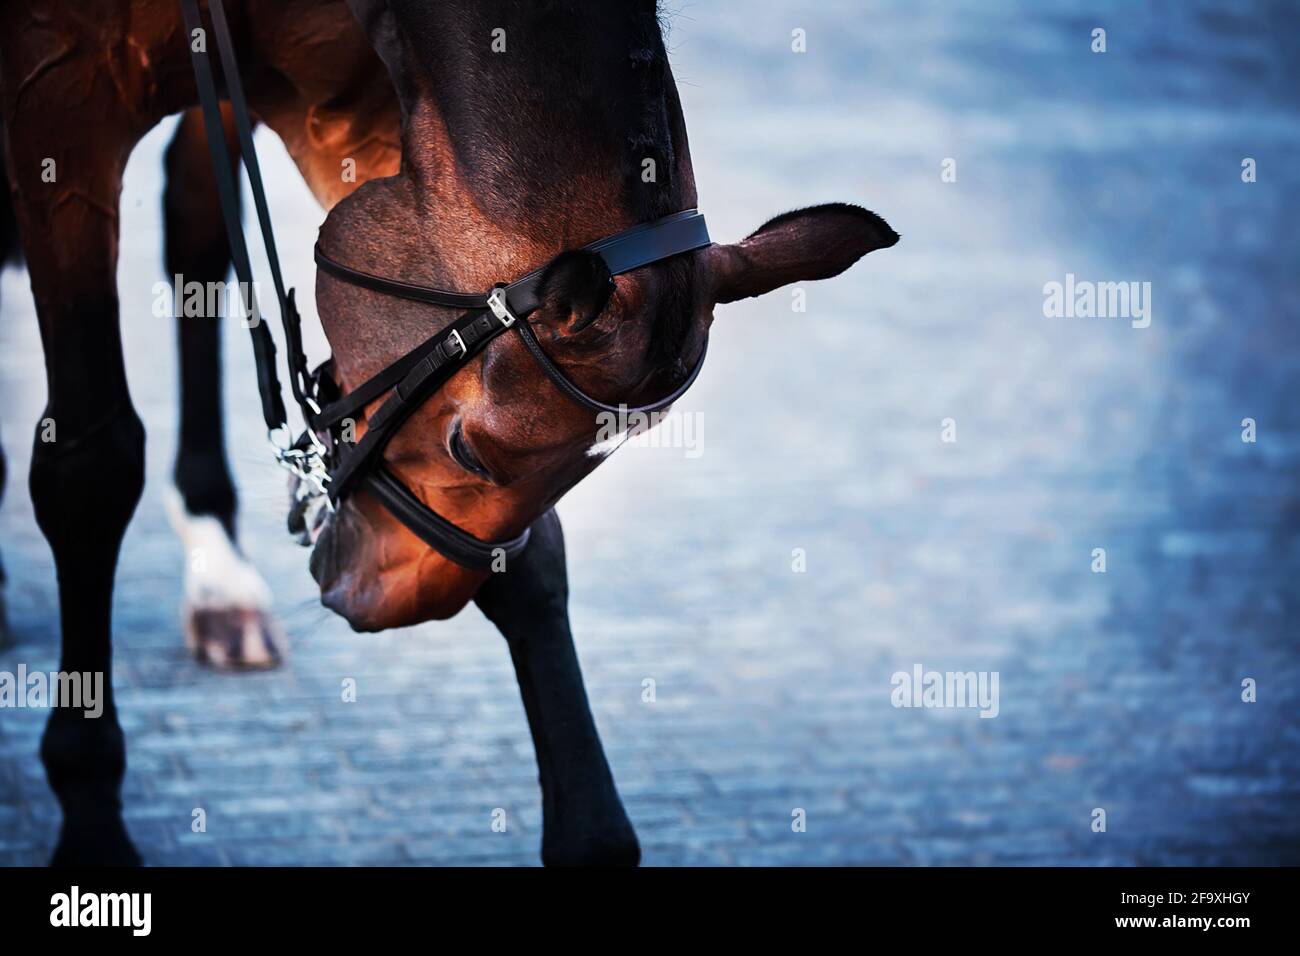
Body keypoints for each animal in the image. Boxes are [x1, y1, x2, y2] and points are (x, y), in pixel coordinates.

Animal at [0, 0, 894, 868]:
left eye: (592, 463)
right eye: (469, 450)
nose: (397, 597)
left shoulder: (388, 120)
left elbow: (532, 558)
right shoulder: (58, 90)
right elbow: (92, 466)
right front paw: (90, 816)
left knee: (194, 225)